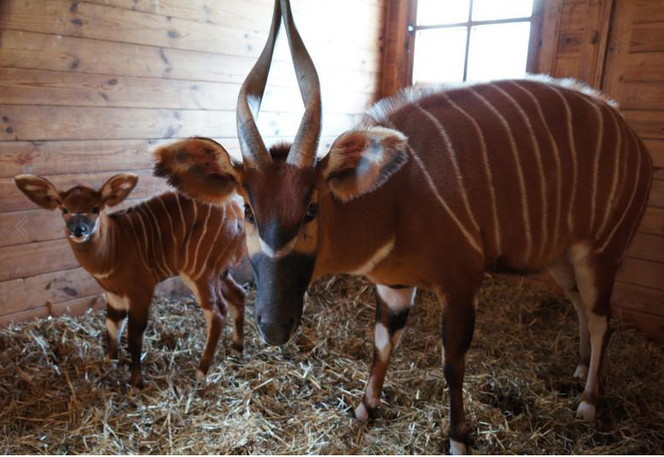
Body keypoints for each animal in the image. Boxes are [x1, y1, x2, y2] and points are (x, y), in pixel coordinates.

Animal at [13, 173, 246, 386]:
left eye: (95, 208)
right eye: (65, 209)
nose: (79, 230)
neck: (114, 245)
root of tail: (237, 214)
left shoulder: (141, 290)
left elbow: (134, 334)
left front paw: (135, 381)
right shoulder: (113, 293)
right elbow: (112, 324)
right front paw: (110, 363)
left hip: (199, 272)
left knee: (217, 311)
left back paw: (200, 372)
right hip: (219, 272)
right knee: (238, 294)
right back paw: (236, 349)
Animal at [148, 0, 652, 448]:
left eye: (311, 207)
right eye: (249, 210)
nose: (274, 326)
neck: (395, 198)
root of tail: (635, 142)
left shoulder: (462, 283)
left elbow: (453, 361)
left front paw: (458, 438)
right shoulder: (393, 286)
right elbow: (382, 343)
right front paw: (363, 409)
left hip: (600, 252)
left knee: (603, 318)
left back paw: (589, 401)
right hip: (564, 258)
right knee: (581, 307)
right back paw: (579, 371)